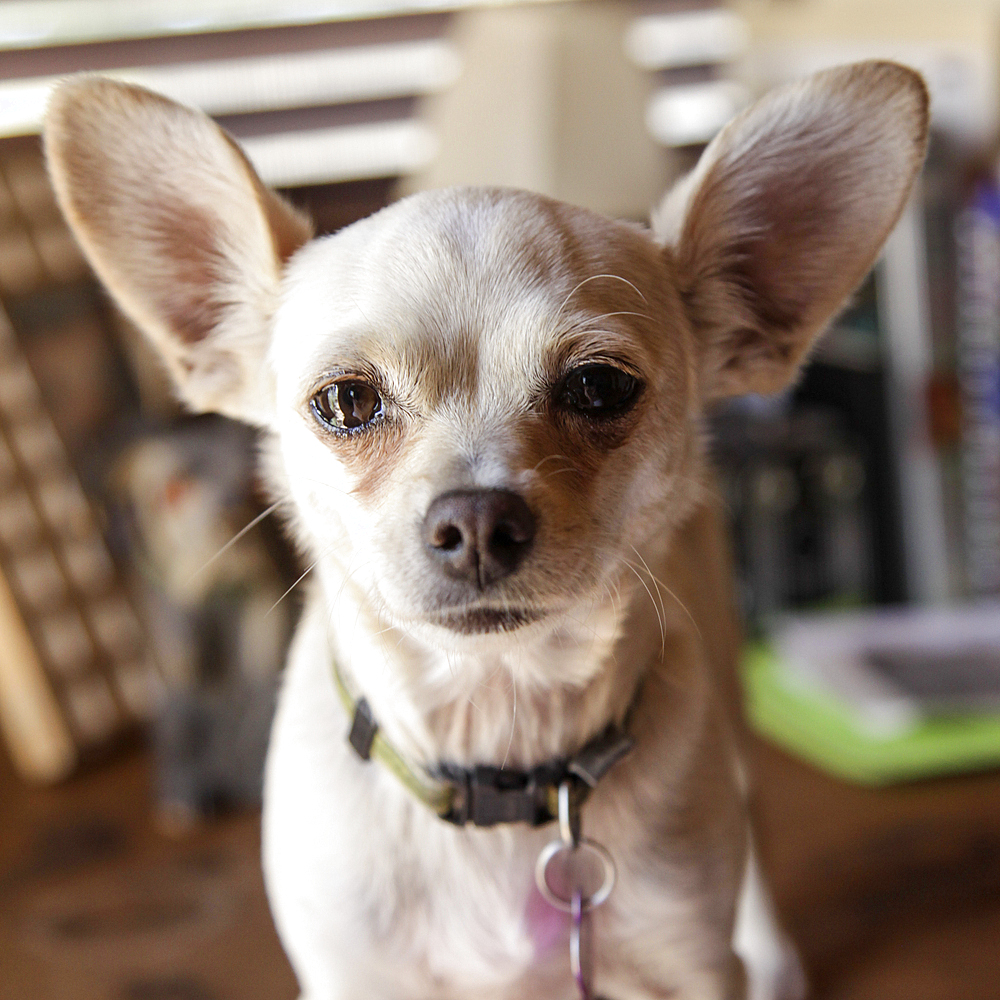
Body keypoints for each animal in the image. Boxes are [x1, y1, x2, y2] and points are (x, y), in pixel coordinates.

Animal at [43, 64, 924, 1000]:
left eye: (600, 387)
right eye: (346, 402)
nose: (475, 519)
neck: (494, 741)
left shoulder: (686, 968)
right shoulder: (351, 976)